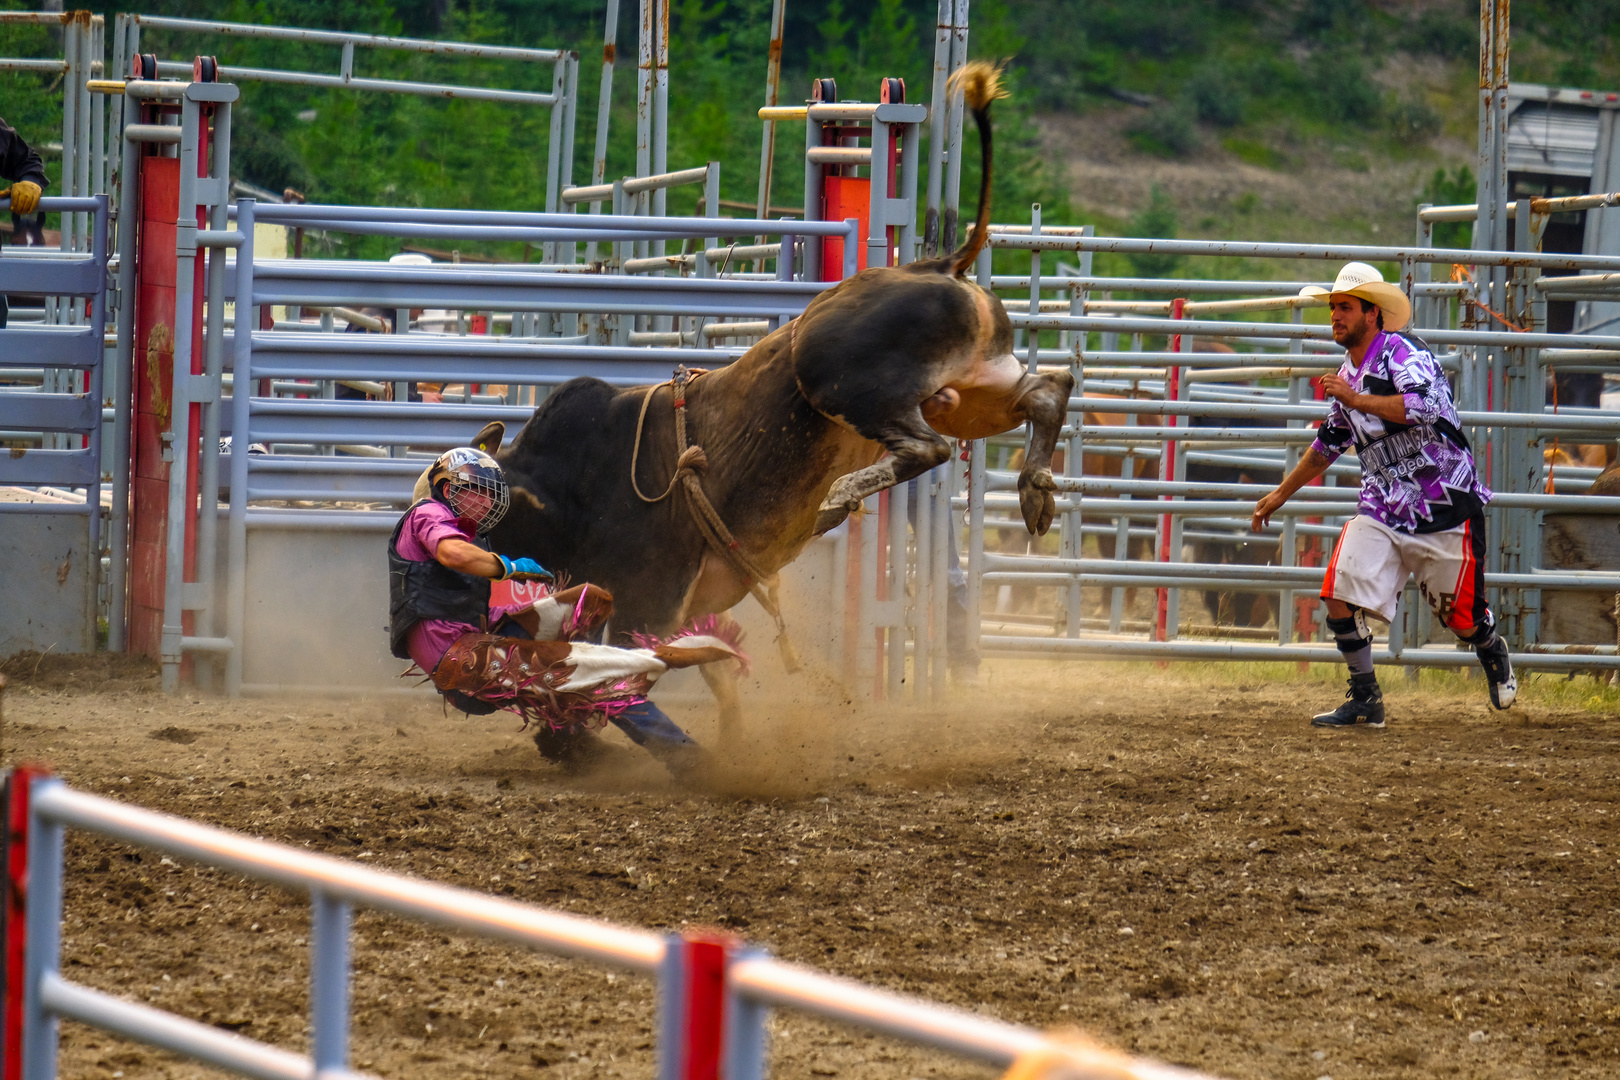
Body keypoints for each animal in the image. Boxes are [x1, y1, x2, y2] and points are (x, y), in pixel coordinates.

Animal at [421, 63, 1075, 738]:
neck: (571, 487)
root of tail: (937, 266)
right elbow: (715, 669)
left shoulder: (645, 602)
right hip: (977, 389)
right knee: (1047, 392)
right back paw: (1034, 492)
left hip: (840, 377)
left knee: (929, 447)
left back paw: (839, 497)